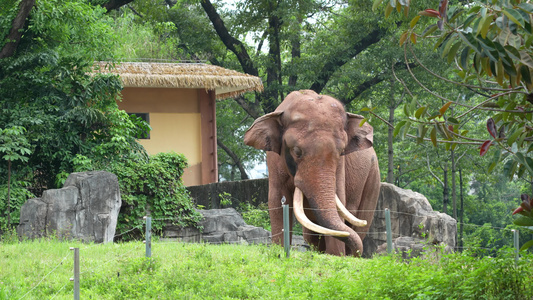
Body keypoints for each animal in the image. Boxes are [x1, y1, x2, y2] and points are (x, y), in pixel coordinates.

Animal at [243, 90, 380, 256]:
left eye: (341, 151)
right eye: (297, 151)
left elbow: (339, 197)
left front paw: (336, 255)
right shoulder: (273, 160)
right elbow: (276, 200)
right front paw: (279, 251)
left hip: (373, 178)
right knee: (311, 235)